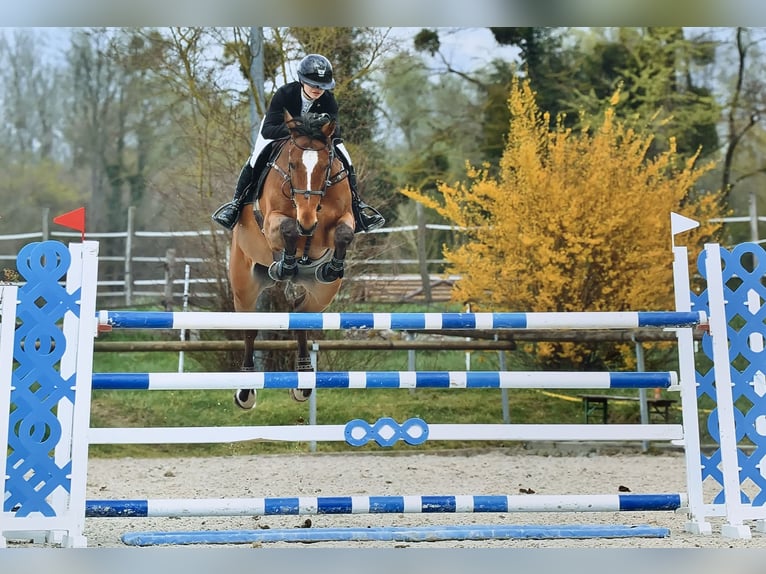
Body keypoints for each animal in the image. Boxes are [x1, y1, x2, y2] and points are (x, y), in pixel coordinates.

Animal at [228, 110, 356, 412]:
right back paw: (246, 391)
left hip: (323, 294)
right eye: (293, 164)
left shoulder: (341, 220)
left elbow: (343, 233)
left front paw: (332, 266)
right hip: (243, 284)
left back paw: (303, 380)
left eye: (325, 166)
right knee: (250, 329)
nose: (307, 220)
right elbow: (287, 229)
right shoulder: (273, 222)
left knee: (300, 315)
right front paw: (285, 263)